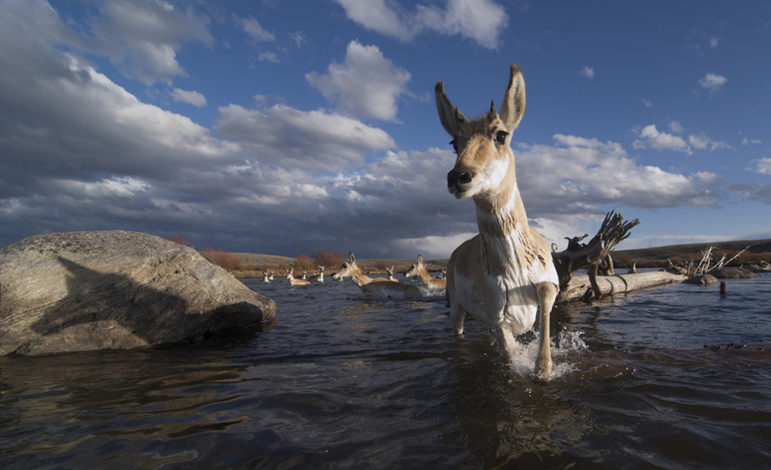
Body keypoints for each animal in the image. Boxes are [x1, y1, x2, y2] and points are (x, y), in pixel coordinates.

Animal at [438, 63, 556, 378]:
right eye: (454, 141)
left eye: (501, 135)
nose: (458, 176)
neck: (515, 268)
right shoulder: (498, 317)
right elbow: (510, 352)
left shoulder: (549, 284)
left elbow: (545, 291)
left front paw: (543, 367)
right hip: (457, 310)